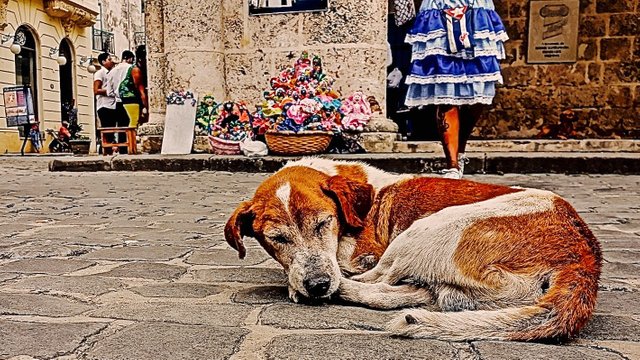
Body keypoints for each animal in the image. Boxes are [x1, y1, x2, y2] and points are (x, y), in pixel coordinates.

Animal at [225, 159, 600, 342]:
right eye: (278, 238)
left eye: (324, 223)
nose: (317, 285)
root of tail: (584, 254)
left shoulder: (359, 253)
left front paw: (298, 283)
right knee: (418, 293)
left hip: (431, 227)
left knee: (379, 281)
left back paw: (340, 288)